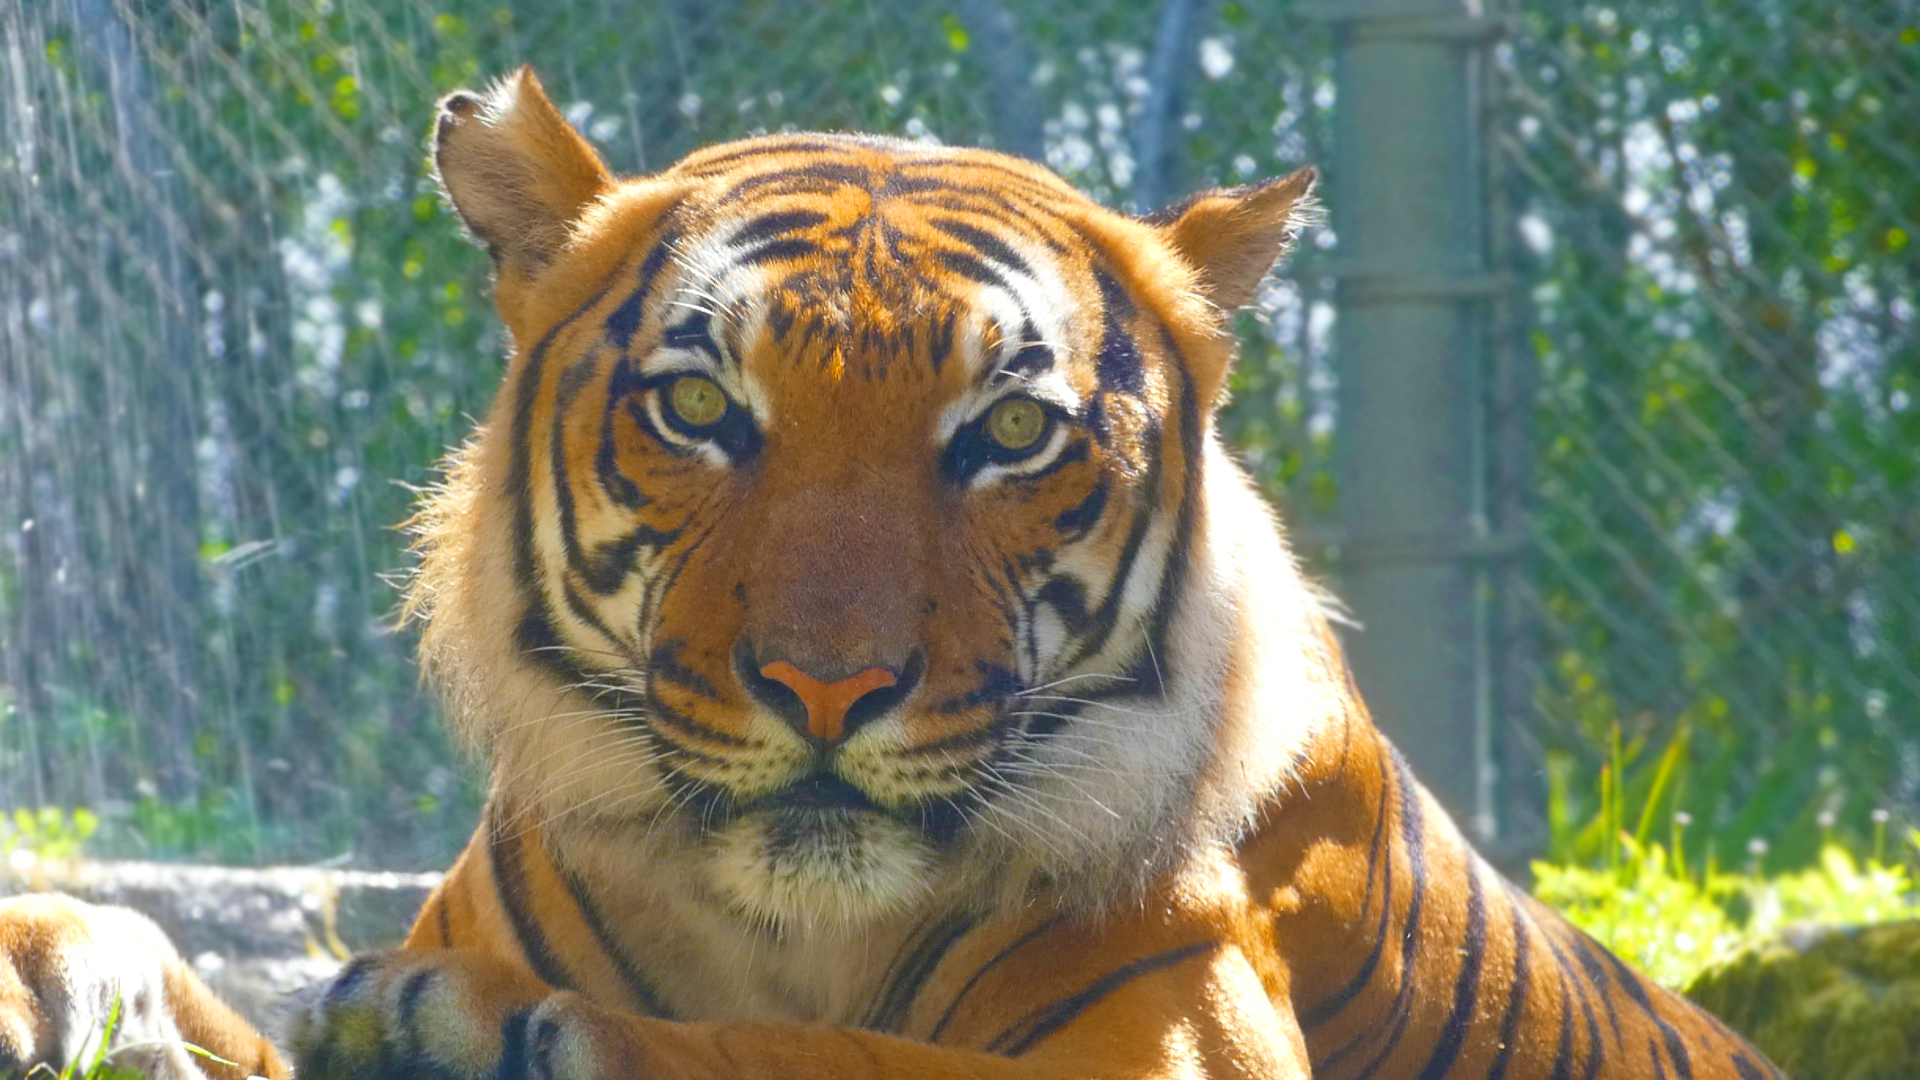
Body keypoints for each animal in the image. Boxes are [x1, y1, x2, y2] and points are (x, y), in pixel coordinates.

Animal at [0, 65, 1786, 1080]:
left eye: (1009, 431)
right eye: (702, 408)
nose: (829, 687)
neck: (785, 927)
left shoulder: (1164, 1052)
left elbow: (823, 1057)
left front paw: (476, 1030)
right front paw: (49, 971)